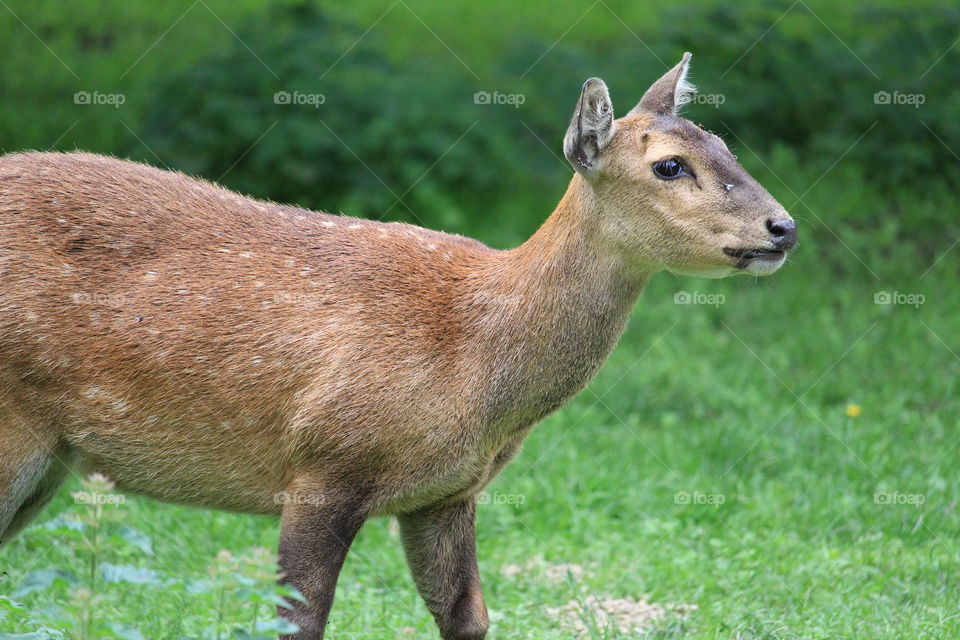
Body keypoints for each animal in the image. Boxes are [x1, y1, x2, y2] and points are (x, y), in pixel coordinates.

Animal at [0, 52, 796, 636]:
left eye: (725, 144)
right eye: (669, 165)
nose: (782, 227)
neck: (481, 362)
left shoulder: (445, 493)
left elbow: (468, 618)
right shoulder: (324, 463)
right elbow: (295, 623)